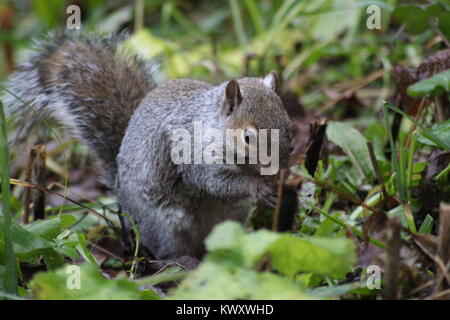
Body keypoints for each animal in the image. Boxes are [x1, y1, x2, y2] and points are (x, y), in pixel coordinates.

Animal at [3, 31, 296, 258]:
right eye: (247, 138)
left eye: (291, 130)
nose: (278, 169)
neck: (211, 124)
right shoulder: (193, 154)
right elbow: (215, 182)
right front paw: (259, 188)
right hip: (164, 224)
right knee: (170, 251)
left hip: (229, 219)